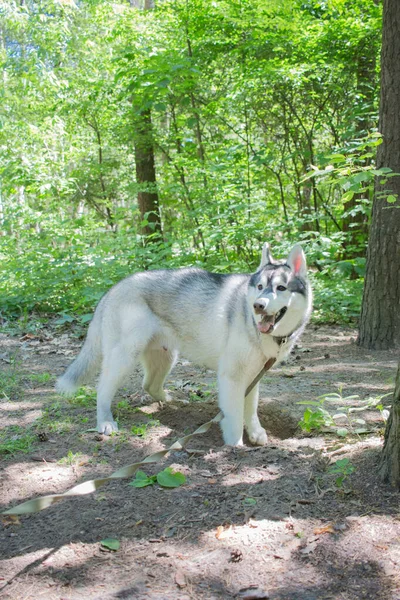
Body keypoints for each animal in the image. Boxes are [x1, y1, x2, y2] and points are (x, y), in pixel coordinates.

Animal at [56, 244, 312, 446]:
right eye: (259, 287)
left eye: (281, 288)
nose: (258, 305)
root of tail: (113, 289)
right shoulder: (232, 377)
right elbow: (235, 415)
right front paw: (235, 445)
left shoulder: (253, 376)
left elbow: (250, 409)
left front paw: (256, 433)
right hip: (124, 357)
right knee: (102, 390)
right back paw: (106, 422)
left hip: (167, 357)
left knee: (149, 385)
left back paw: (172, 400)